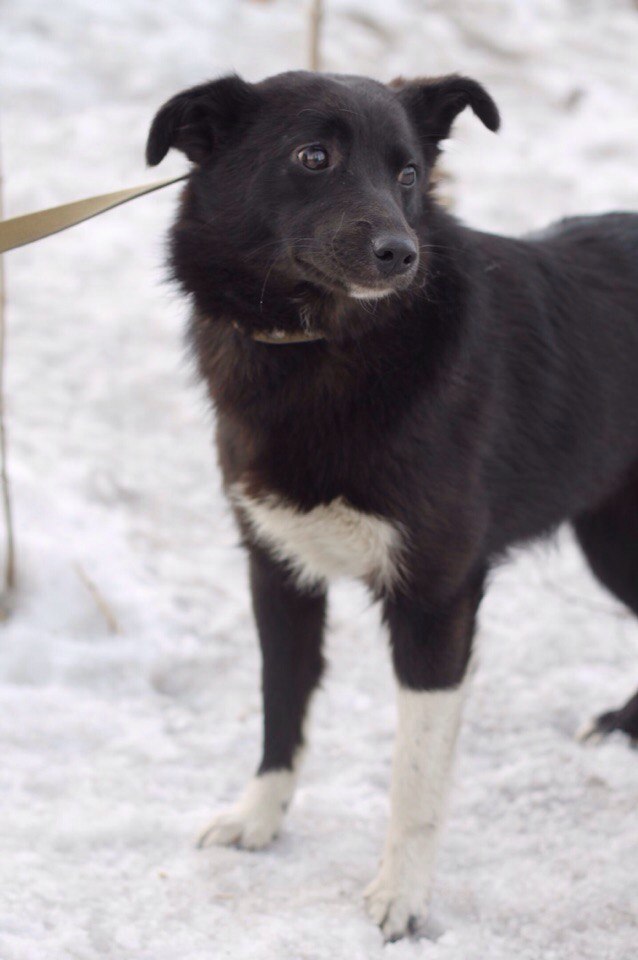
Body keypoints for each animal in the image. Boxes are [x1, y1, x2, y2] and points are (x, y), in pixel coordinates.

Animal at [148, 71, 638, 940]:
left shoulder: (437, 597)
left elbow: (414, 776)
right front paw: (258, 820)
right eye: (313, 157)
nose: (400, 254)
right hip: (610, 532)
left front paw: (401, 898)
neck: (322, 347)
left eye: (408, 172)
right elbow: (280, 704)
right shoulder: (277, 569)